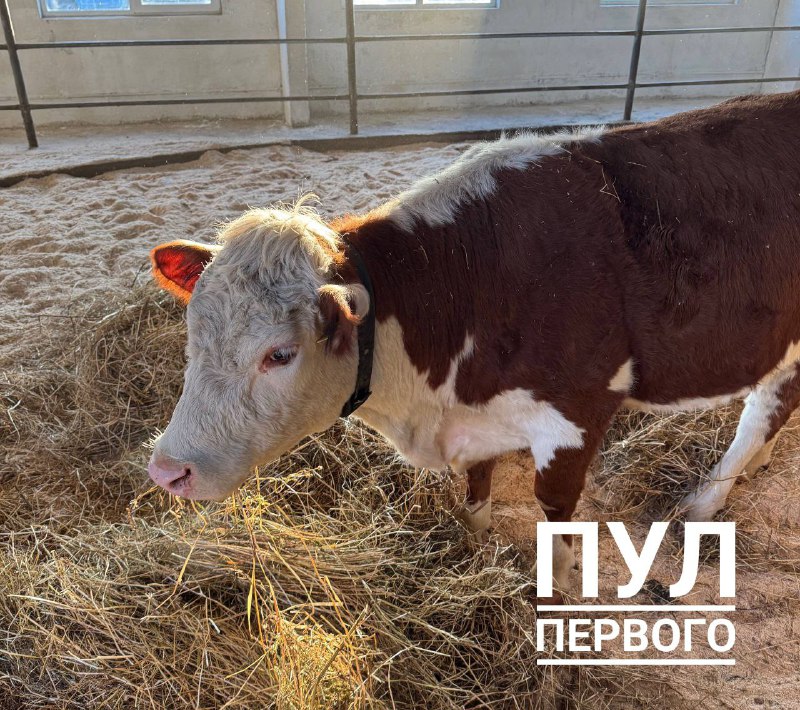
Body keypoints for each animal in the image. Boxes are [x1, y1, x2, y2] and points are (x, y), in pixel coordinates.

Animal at [148, 90, 800, 591]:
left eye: (279, 355)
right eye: (192, 336)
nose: (166, 471)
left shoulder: (578, 415)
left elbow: (554, 514)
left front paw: (559, 587)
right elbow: (475, 491)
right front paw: (473, 546)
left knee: (761, 412)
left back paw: (704, 503)